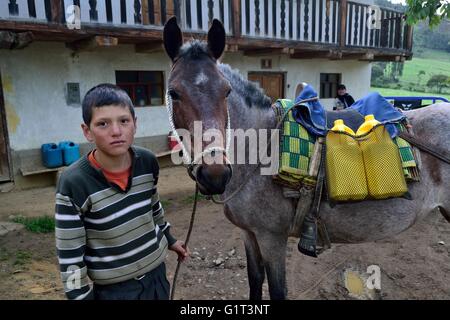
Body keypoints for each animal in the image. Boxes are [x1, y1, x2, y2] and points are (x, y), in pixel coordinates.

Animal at [163, 17, 450, 300]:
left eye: (226, 91)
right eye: (173, 93)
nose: (215, 175)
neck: (261, 149)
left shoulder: (272, 238)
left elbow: (277, 291)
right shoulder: (249, 234)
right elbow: (254, 282)